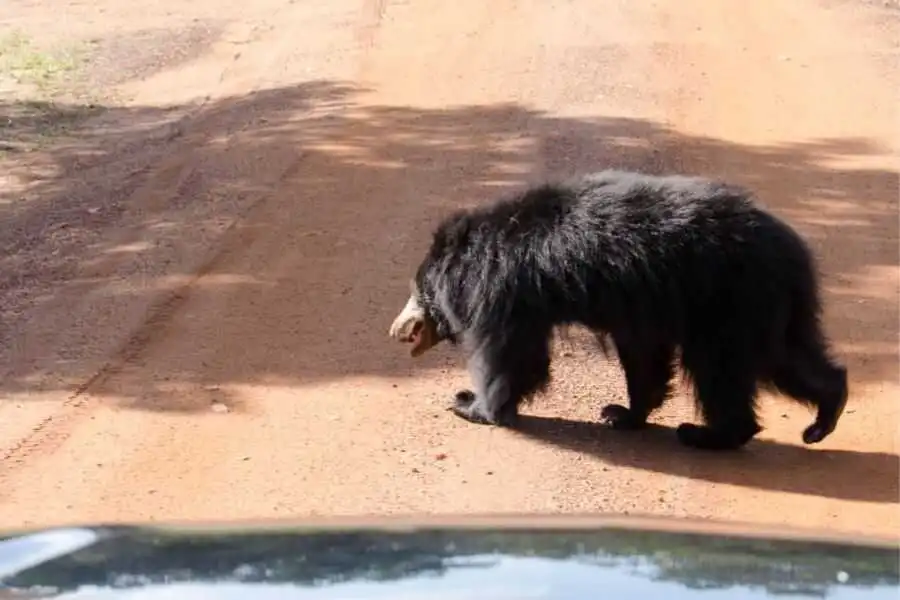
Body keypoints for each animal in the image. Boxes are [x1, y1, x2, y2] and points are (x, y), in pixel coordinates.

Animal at [388, 170, 848, 451]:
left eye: (417, 291)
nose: (395, 329)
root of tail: (794, 251)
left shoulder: (510, 291)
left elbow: (512, 356)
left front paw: (470, 404)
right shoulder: (639, 306)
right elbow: (644, 358)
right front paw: (622, 414)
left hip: (728, 301)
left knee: (719, 369)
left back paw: (706, 435)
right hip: (765, 307)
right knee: (787, 358)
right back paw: (823, 418)